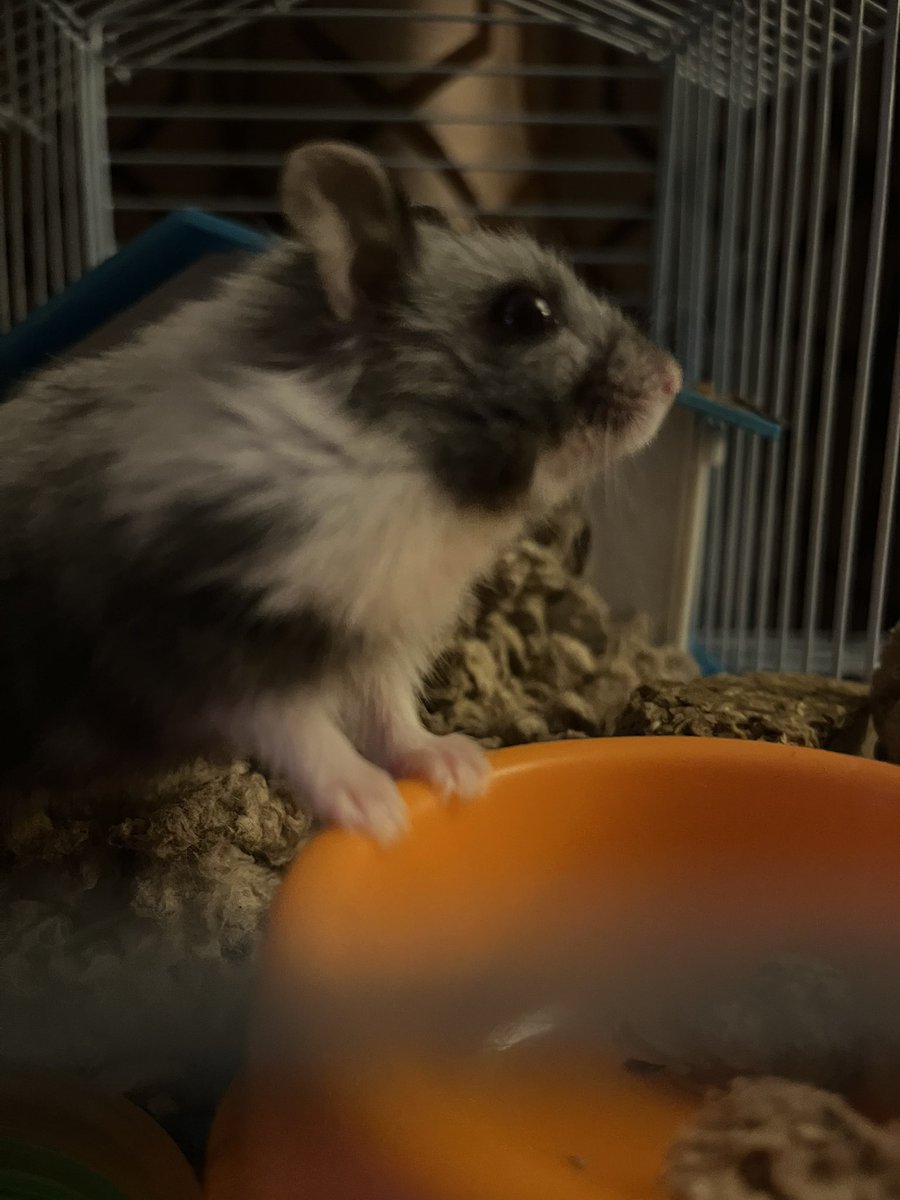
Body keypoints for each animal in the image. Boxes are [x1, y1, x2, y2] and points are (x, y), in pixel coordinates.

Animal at [0, 141, 681, 842]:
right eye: (524, 314)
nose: (675, 379)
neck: (407, 471)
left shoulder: (384, 629)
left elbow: (392, 715)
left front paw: (460, 769)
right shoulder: (214, 638)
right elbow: (300, 729)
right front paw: (378, 813)